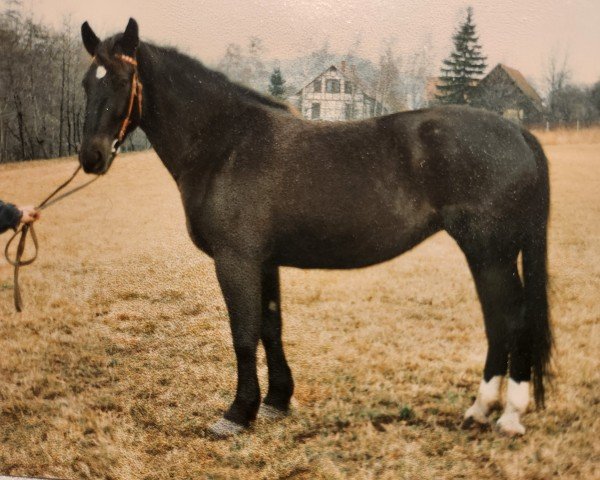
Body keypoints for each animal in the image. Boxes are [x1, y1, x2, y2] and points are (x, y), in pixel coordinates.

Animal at [77, 17, 552, 438]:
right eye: (86, 83)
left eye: (122, 79)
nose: (91, 157)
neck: (225, 144)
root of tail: (517, 132)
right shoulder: (263, 262)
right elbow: (270, 327)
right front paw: (275, 401)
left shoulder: (236, 261)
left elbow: (243, 334)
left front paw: (237, 413)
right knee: (501, 321)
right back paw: (485, 410)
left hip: (490, 252)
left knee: (511, 319)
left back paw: (505, 414)